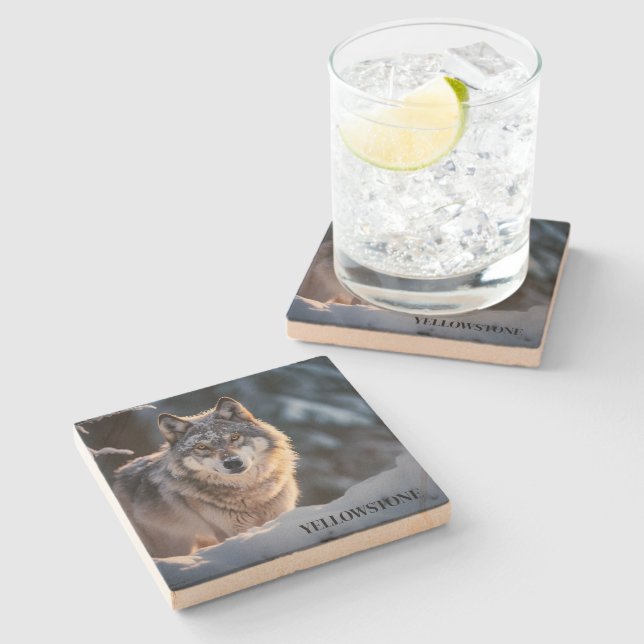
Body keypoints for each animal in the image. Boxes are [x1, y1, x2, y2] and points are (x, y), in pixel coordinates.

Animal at [113, 397, 299, 558]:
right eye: (202, 447)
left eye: (234, 437)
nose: (232, 462)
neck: (249, 493)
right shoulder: (232, 531)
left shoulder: (280, 515)